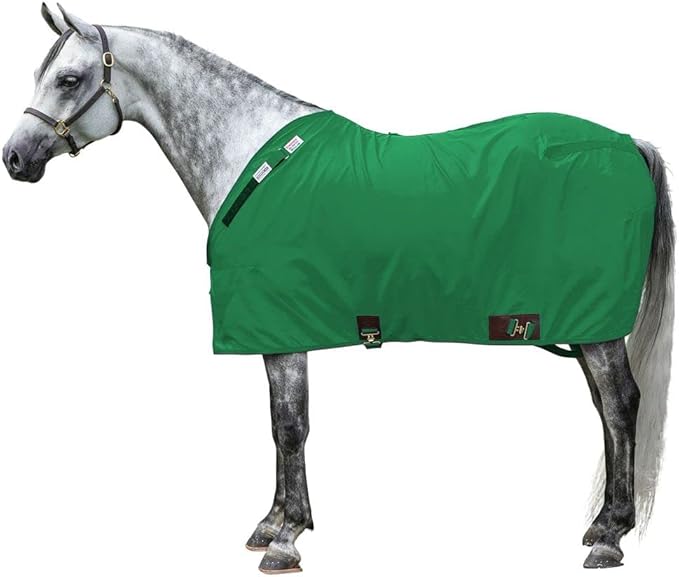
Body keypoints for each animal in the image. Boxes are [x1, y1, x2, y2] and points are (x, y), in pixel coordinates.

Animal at [2, 4, 674, 573]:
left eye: (67, 79)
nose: (14, 158)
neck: (253, 164)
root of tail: (627, 142)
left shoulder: (283, 328)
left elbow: (289, 426)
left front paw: (286, 537)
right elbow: (279, 426)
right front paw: (273, 522)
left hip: (593, 326)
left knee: (621, 405)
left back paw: (610, 536)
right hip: (581, 326)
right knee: (606, 410)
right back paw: (602, 525)